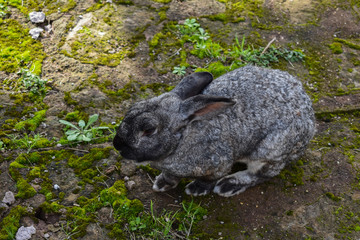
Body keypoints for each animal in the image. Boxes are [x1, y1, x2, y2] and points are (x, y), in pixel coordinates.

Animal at [113, 65, 316, 197]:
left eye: (149, 130)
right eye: (131, 109)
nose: (117, 145)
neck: (182, 138)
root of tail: (309, 117)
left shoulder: (219, 163)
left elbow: (210, 179)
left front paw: (196, 189)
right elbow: (171, 175)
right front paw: (162, 183)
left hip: (269, 150)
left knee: (263, 173)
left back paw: (229, 185)